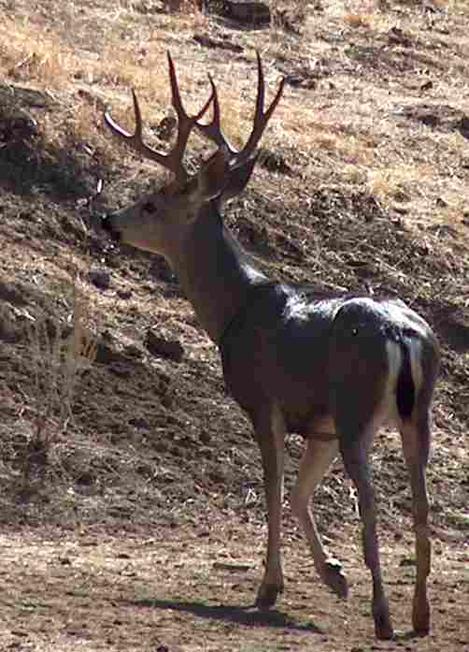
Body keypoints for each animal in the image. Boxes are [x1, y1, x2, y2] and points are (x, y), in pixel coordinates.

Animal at [99, 52, 438, 640]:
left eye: (150, 203)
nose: (109, 221)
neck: (236, 308)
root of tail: (403, 336)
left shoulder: (263, 402)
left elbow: (275, 487)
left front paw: (270, 587)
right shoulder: (320, 425)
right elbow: (301, 494)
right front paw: (334, 576)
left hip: (357, 409)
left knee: (373, 504)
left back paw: (383, 617)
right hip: (416, 415)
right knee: (421, 507)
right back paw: (418, 617)